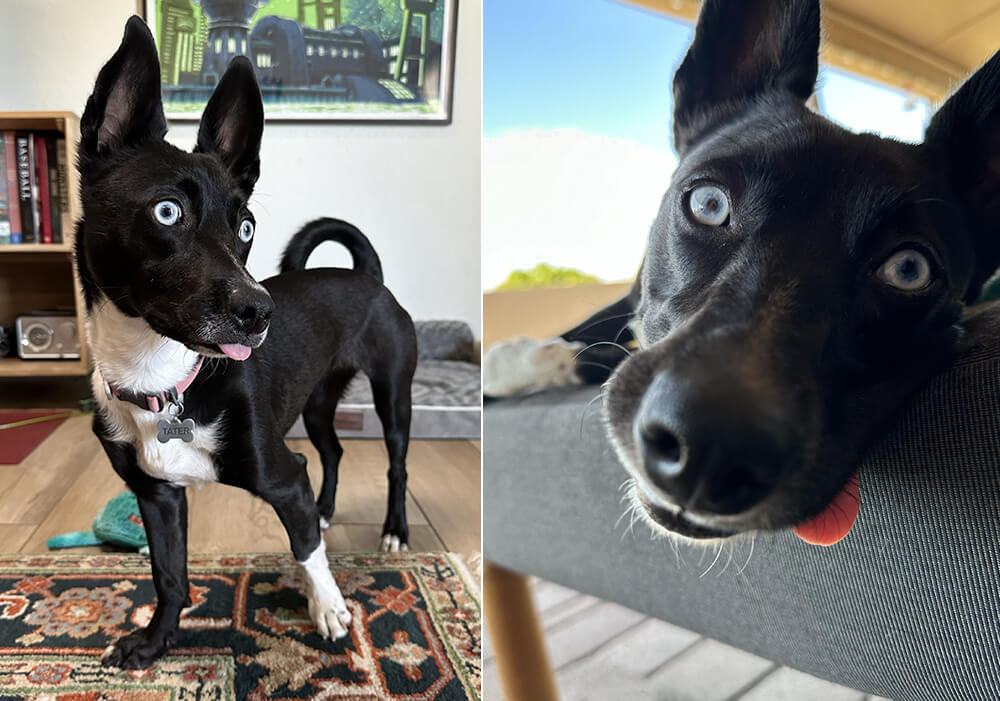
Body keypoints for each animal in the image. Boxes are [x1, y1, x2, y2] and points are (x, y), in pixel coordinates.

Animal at [76, 16, 416, 668]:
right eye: (166, 211)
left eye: (247, 226)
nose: (260, 311)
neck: (164, 381)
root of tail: (368, 275)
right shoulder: (157, 497)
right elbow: (170, 576)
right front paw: (154, 642)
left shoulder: (281, 475)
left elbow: (303, 549)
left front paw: (328, 607)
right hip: (316, 401)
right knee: (333, 452)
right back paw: (328, 511)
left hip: (393, 396)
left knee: (394, 464)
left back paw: (393, 530)